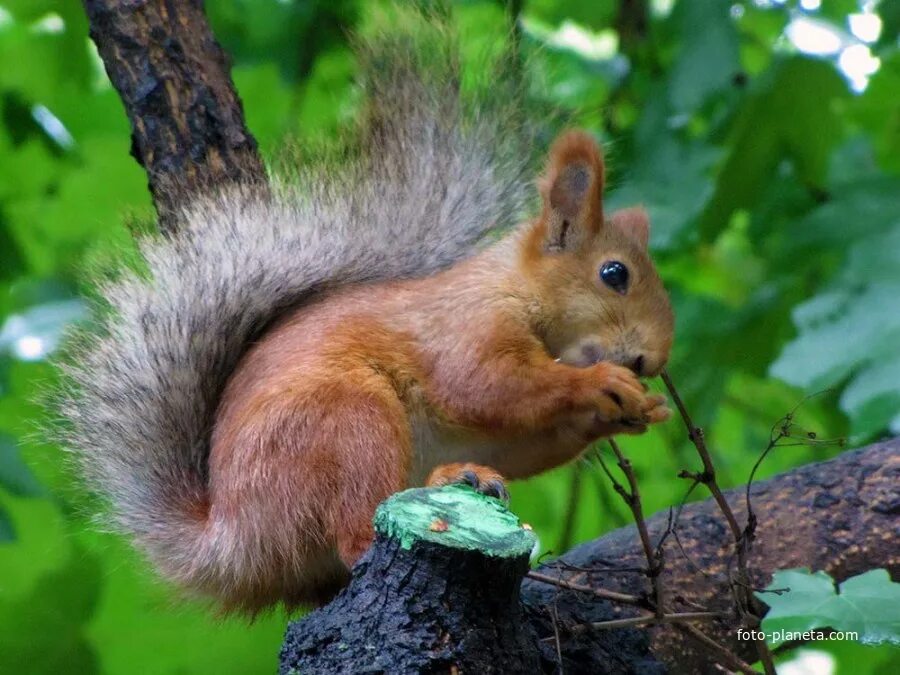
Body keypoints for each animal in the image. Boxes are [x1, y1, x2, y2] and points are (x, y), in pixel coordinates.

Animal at [56, 9, 672, 612]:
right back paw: (458, 476)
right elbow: (489, 384)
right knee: (356, 534)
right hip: (346, 420)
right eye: (614, 274)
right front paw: (600, 384)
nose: (652, 360)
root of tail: (231, 537)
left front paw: (637, 409)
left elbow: (521, 437)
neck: (514, 288)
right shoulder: (465, 326)